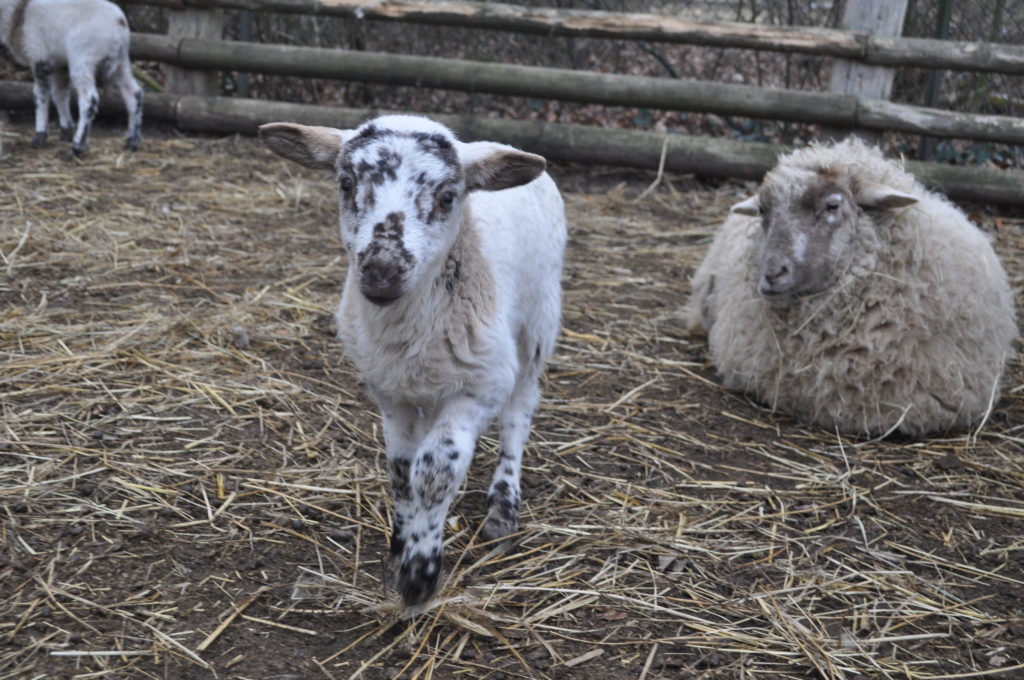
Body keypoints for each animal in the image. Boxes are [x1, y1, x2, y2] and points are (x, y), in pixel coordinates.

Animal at [0, 0, 144, 154]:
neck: (21, 10)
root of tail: (119, 23)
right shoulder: (59, 63)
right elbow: (60, 95)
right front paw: (66, 131)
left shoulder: (39, 56)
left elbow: (41, 96)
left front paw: (39, 136)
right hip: (122, 61)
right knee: (134, 95)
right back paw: (132, 142)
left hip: (83, 59)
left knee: (89, 100)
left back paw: (77, 146)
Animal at [260, 115, 569, 606]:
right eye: (346, 184)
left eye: (447, 197)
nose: (381, 270)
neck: (409, 331)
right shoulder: (390, 394)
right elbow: (402, 472)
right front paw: (399, 549)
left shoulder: (482, 385)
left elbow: (436, 469)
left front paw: (420, 574)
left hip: (538, 322)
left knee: (519, 412)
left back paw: (503, 504)